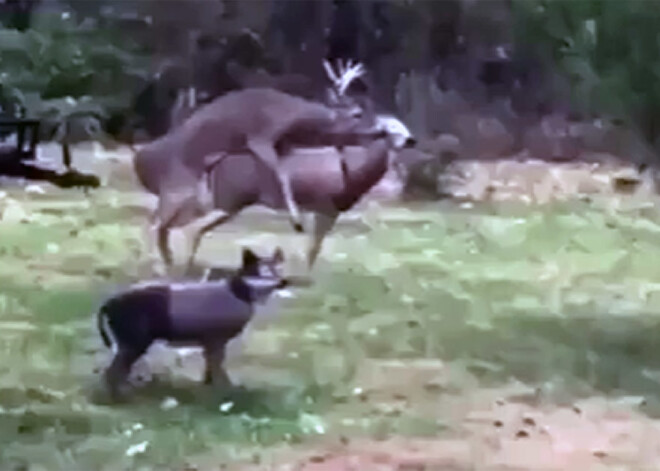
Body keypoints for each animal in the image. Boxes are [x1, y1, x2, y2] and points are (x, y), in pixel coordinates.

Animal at [97, 247, 286, 402]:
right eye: (261, 271)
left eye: (279, 268)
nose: (283, 282)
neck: (239, 293)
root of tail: (108, 304)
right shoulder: (217, 338)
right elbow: (217, 365)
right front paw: (225, 390)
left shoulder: (209, 341)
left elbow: (211, 365)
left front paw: (210, 386)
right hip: (135, 340)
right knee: (113, 371)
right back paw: (121, 399)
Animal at [133, 59, 412, 272]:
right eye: (385, 126)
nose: (410, 139)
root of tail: (141, 156)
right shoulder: (264, 139)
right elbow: (284, 181)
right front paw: (296, 225)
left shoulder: (288, 155)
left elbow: (313, 244)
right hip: (184, 187)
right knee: (157, 223)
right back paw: (157, 265)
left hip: (208, 199)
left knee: (174, 226)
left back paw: (172, 263)